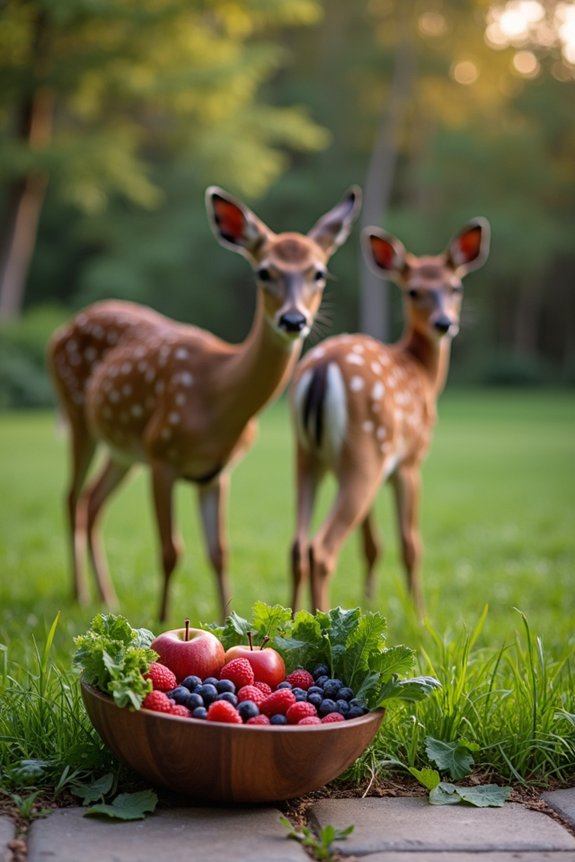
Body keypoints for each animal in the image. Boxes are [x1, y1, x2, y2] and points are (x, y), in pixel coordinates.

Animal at [48, 184, 362, 622]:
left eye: (319, 272)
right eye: (264, 272)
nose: (293, 320)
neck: (216, 391)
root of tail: (62, 328)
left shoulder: (216, 472)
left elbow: (219, 553)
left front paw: (226, 619)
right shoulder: (161, 455)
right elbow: (170, 550)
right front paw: (162, 620)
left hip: (124, 449)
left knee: (93, 504)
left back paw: (106, 598)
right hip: (79, 415)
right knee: (72, 498)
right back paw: (79, 593)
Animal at [289, 217, 490, 616]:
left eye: (455, 286)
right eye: (414, 291)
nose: (444, 323)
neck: (423, 375)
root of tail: (320, 369)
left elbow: (372, 545)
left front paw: (367, 605)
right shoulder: (409, 462)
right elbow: (410, 544)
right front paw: (420, 615)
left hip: (309, 456)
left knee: (296, 547)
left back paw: (288, 619)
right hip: (365, 450)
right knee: (321, 549)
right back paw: (319, 620)